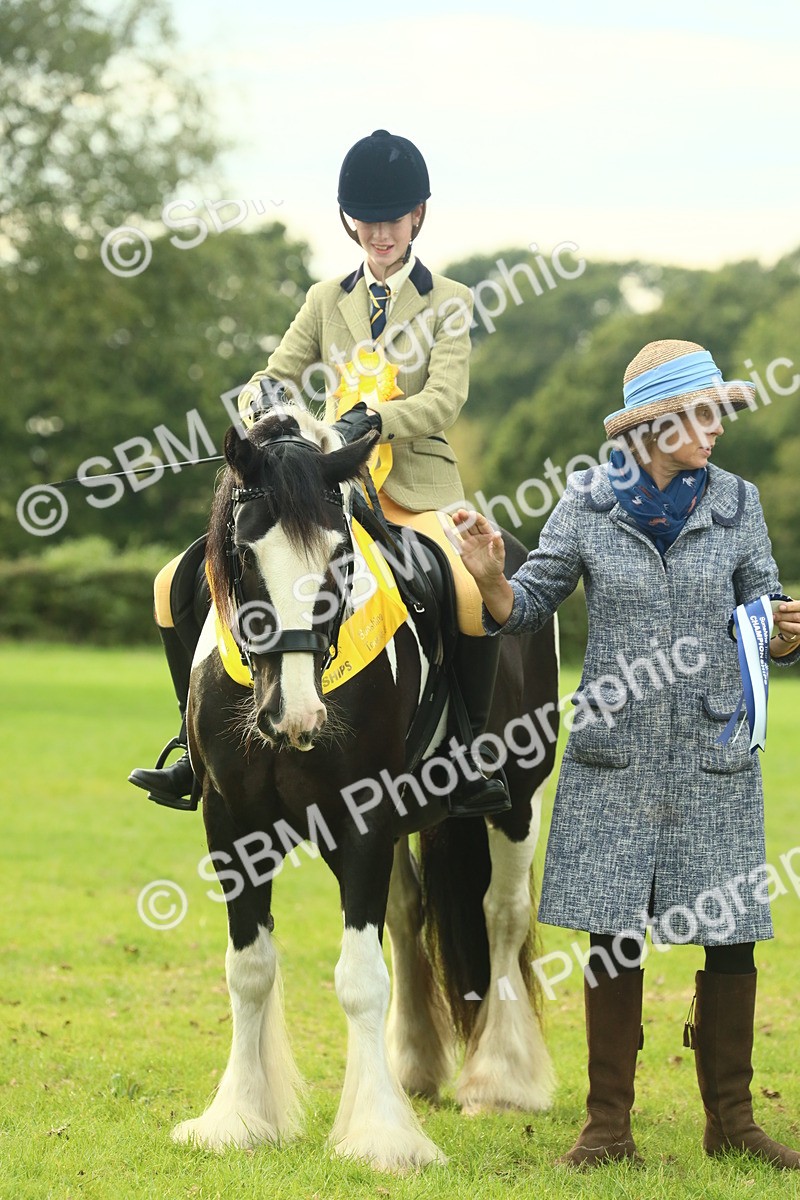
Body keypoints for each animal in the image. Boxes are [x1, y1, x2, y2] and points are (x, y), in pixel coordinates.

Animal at [171, 408, 560, 1170]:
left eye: (338, 559)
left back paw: (502, 1079)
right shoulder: (233, 822)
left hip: (519, 800)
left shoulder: (364, 817)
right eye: (244, 555)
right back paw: (414, 1067)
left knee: (501, 915)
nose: (293, 716)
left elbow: (359, 978)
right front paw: (240, 1118)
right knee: (408, 918)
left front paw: (381, 1135)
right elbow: (249, 967)